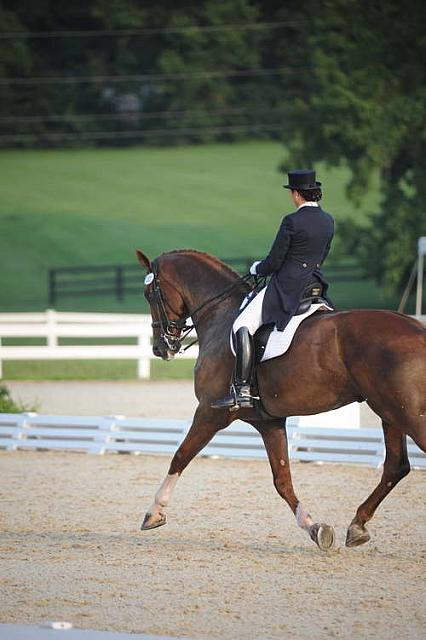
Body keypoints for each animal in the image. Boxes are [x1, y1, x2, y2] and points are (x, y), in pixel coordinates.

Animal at [136, 248, 426, 548]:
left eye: (149, 294)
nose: (161, 348)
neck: (221, 314)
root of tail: (417, 329)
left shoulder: (210, 411)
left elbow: (180, 455)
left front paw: (154, 513)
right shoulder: (268, 422)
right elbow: (282, 479)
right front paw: (314, 528)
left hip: (406, 414)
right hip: (390, 413)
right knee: (395, 466)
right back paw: (357, 525)